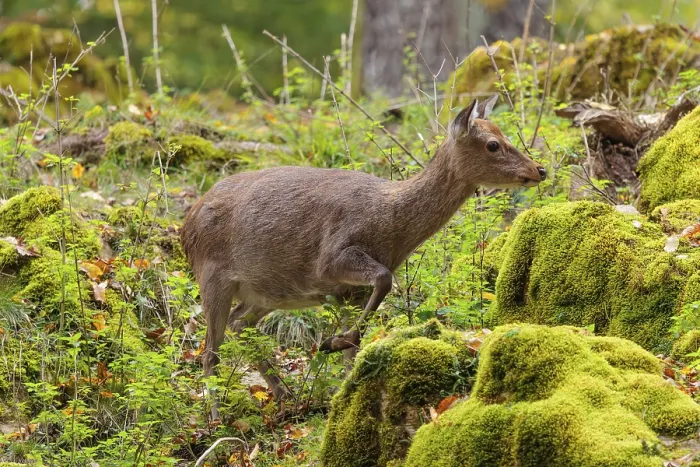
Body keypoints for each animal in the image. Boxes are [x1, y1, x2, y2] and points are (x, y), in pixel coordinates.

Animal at [180, 94, 546, 418]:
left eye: (503, 134)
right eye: (493, 144)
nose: (539, 169)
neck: (391, 227)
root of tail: (186, 223)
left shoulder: (347, 294)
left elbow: (355, 349)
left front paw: (343, 392)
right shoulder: (331, 257)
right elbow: (384, 278)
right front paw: (332, 343)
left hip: (266, 291)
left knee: (240, 323)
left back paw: (285, 396)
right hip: (212, 277)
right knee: (209, 352)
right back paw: (216, 418)